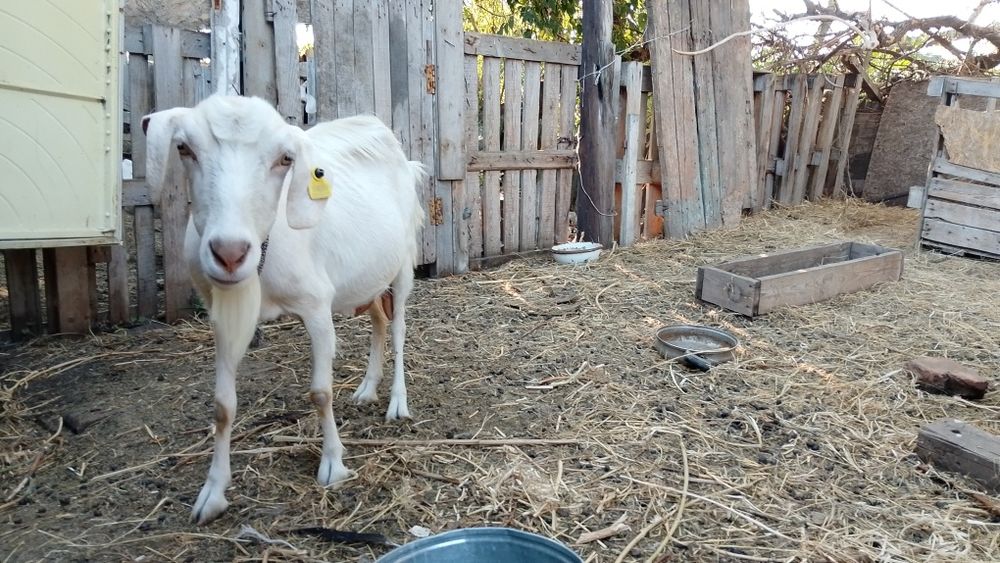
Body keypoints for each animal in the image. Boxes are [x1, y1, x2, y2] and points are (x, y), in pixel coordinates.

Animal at [141, 94, 425, 525]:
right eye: (185, 149)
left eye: (284, 159)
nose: (229, 253)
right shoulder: (221, 316)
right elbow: (222, 406)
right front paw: (212, 494)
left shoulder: (317, 307)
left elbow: (320, 392)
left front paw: (333, 465)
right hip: (366, 277)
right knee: (377, 319)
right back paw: (366, 389)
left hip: (403, 262)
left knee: (398, 330)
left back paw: (397, 402)